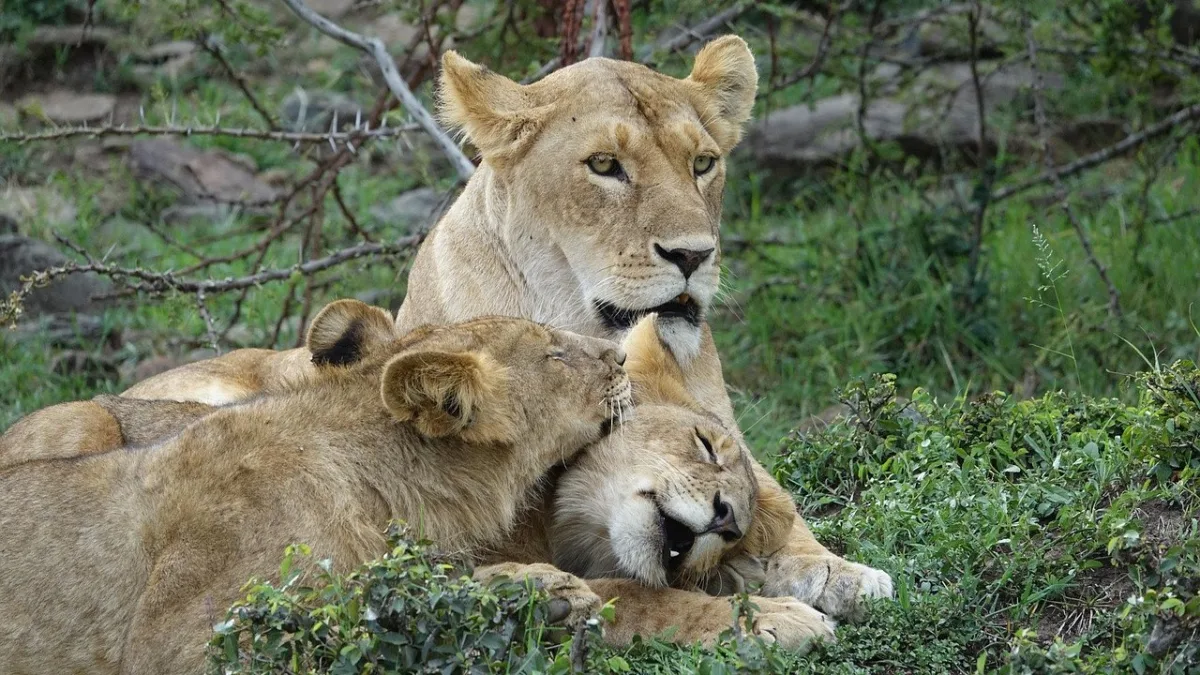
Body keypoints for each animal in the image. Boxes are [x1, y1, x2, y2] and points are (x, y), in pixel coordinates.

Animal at [0, 314, 835, 659]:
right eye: (706, 445)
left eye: (736, 528)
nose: (726, 519)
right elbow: (637, 596)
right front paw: (780, 620)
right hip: (84, 421)